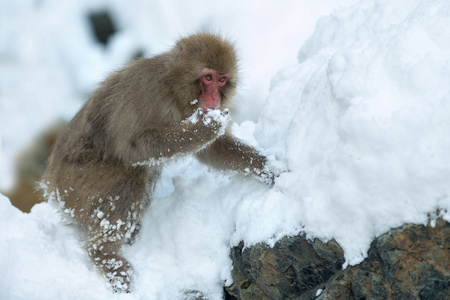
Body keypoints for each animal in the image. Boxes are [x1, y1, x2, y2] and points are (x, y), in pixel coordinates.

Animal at [44, 33, 272, 292]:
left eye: (222, 80)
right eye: (208, 77)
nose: (214, 97)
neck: (174, 88)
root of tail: (50, 184)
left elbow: (213, 150)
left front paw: (267, 169)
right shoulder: (147, 91)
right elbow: (131, 147)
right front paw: (202, 129)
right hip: (74, 183)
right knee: (130, 176)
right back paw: (104, 255)